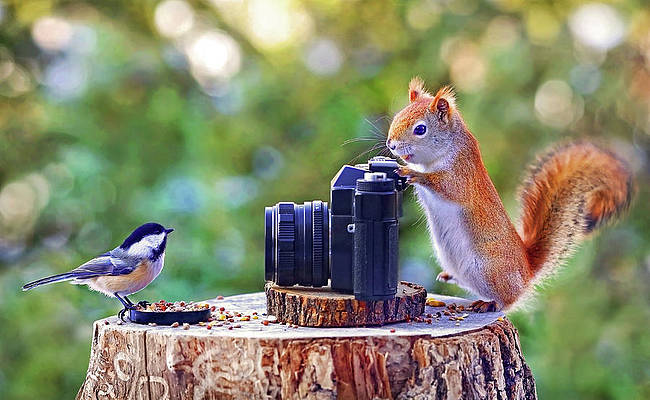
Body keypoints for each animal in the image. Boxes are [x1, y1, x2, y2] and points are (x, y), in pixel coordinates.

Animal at [387, 78, 633, 312]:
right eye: (398, 116)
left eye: (420, 129)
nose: (391, 145)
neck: (443, 152)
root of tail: (526, 273)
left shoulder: (462, 175)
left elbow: (446, 186)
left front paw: (412, 173)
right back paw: (450, 276)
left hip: (489, 269)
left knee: (508, 299)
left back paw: (489, 304)